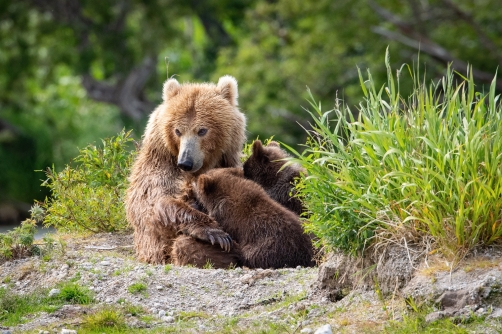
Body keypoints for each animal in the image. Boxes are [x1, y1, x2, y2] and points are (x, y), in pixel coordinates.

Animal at [126, 75, 246, 264]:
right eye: (177, 130)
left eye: (202, 130)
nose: (185, 162)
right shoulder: (160, 168)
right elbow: (154, 201)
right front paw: (213, 232)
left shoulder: (229, 163)